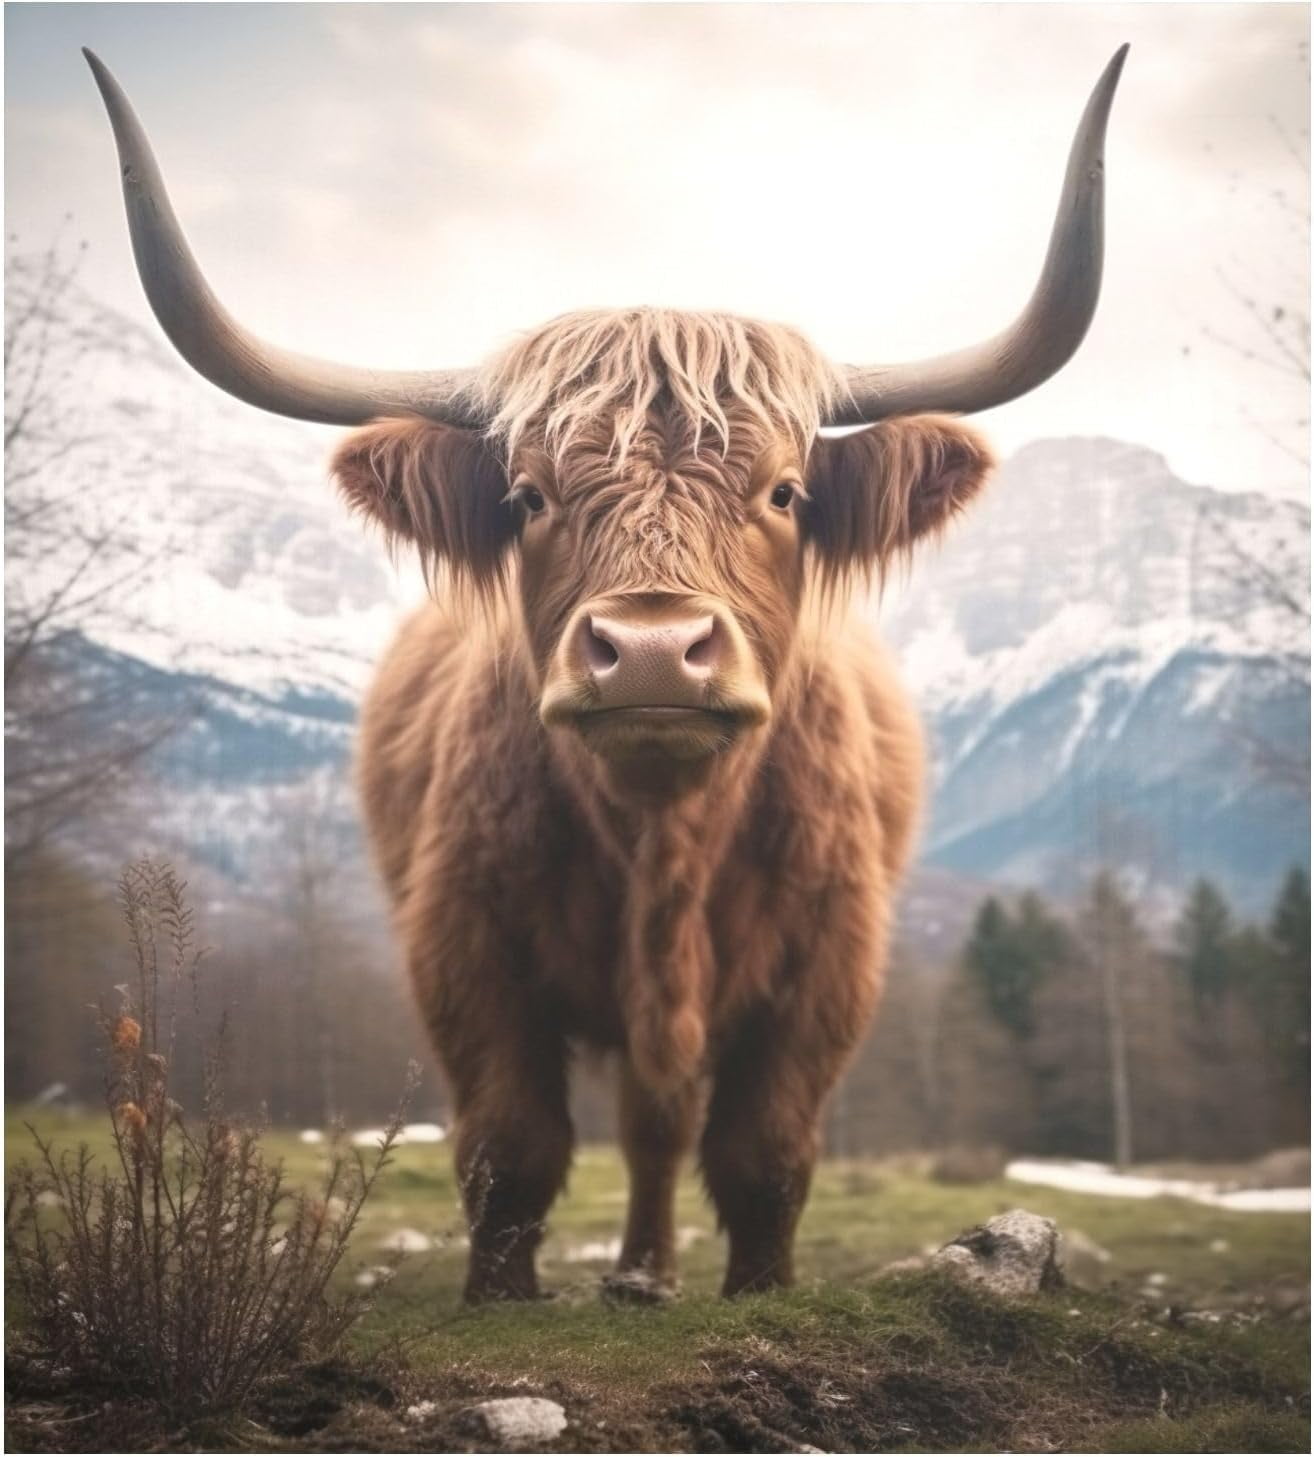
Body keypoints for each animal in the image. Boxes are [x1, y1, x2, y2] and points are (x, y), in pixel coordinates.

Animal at [86, 45, 1126, 1302]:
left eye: (785, 490)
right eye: (529, 495)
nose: (651, 647)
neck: (663, 830)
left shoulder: (832, 963)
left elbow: (762, 1150)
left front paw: (757, 1287)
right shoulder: (460, 943)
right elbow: (513, 1144)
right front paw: (499, 1295)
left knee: (659, 1123)